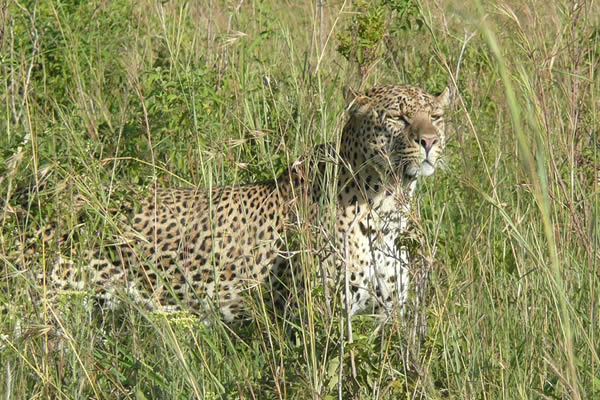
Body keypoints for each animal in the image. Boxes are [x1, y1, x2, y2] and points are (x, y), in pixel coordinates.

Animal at [25, 83, 452, 322]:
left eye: (436, 115)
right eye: (397, 117)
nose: (430, 141)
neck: (388, 204)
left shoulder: (387, 317)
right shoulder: (319, 319)